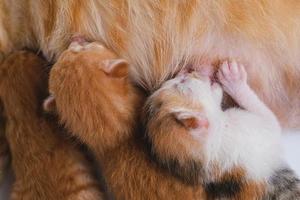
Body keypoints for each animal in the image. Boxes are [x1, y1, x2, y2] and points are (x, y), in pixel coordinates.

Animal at [144, 60, 300, 198]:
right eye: (181, 82)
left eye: (177, 79)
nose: (187, 70)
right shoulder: (261, 128)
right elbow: (263, 111)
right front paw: (234, 79)